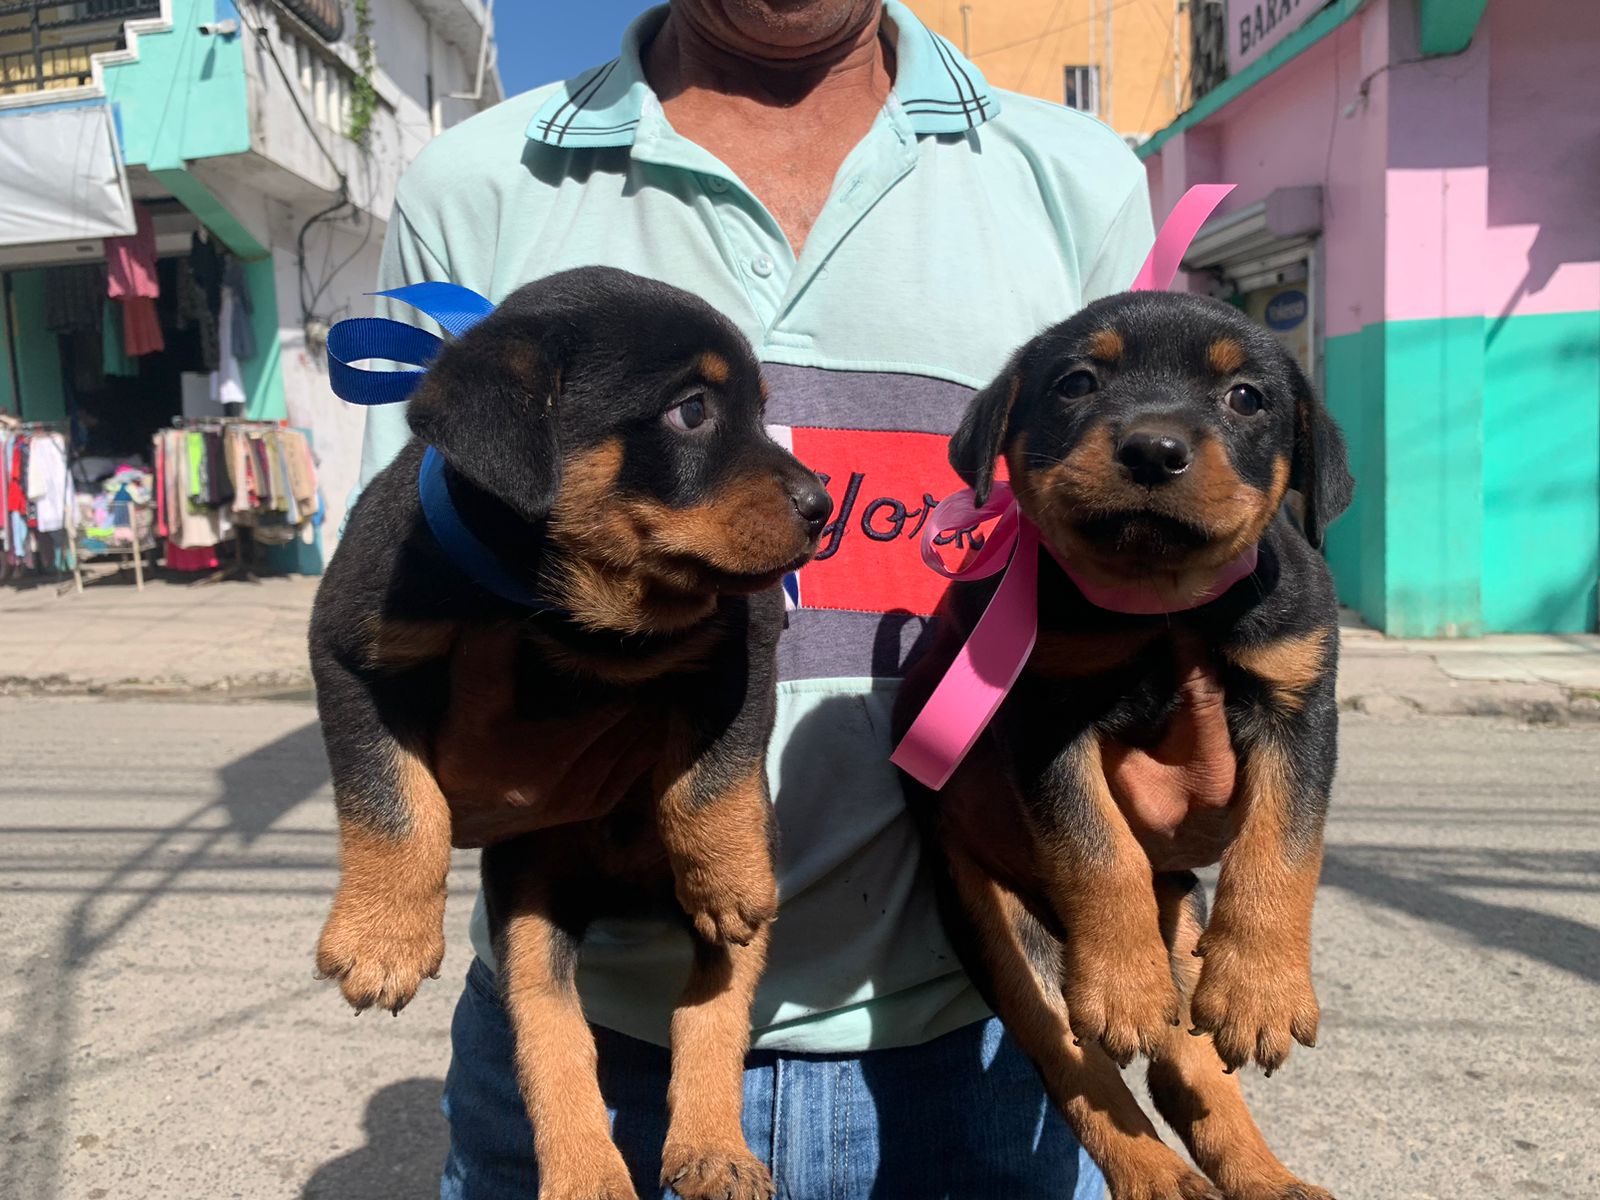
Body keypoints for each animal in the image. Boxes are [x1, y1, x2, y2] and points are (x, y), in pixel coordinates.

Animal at [307, 270, 832, 1200]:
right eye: (692, 412)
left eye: (761, 411)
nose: (822, 505)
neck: (576, 609)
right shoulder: (350, 652)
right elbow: (391, 798)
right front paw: (381, 937)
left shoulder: (747, 636)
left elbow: (714, 772)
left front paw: (727, 866)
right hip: (529, 902)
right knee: (553, 1032)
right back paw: (587, 1169)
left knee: (709, 1013)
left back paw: (713, 1147)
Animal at [896, 291, 1356, 1200]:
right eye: (1077, 383)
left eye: (1246, 398)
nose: (1153, 448)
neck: (1164, 605)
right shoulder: (1046, 715)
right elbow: (1097, 848)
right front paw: (1122, 981)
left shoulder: (1299, 699)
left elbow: (1283, 848)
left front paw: (1260, 987)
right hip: (998, 927)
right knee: (1079, 1067)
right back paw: (1154, 1169)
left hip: (1181, 920)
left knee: (1192, 1067)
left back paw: (1263, 1176)